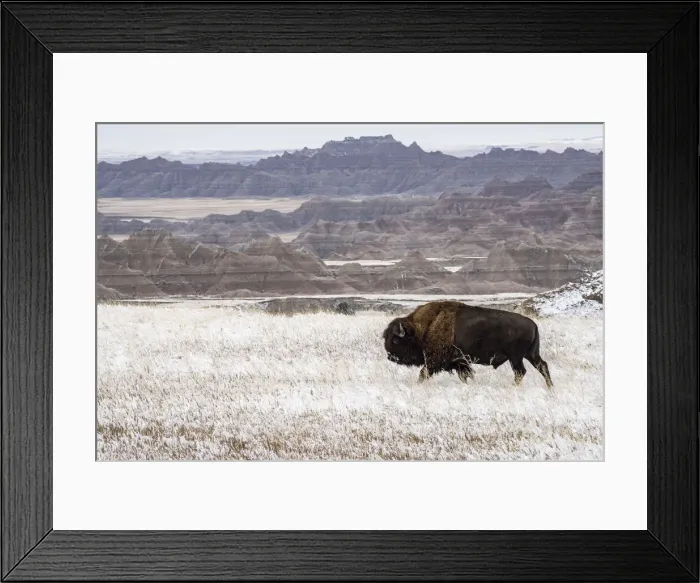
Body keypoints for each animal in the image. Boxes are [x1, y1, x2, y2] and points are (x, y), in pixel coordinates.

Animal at [383, 301, 553, 388]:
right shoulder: (460, 362)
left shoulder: (434, 361)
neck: (426, 326)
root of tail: (533, 325)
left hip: (516, 357)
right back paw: (550, 387)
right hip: (531, 354)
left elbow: (423, 373)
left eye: (395, 340)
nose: (390, 357)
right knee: (542, 366)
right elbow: (465, 375)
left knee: (520, 372)